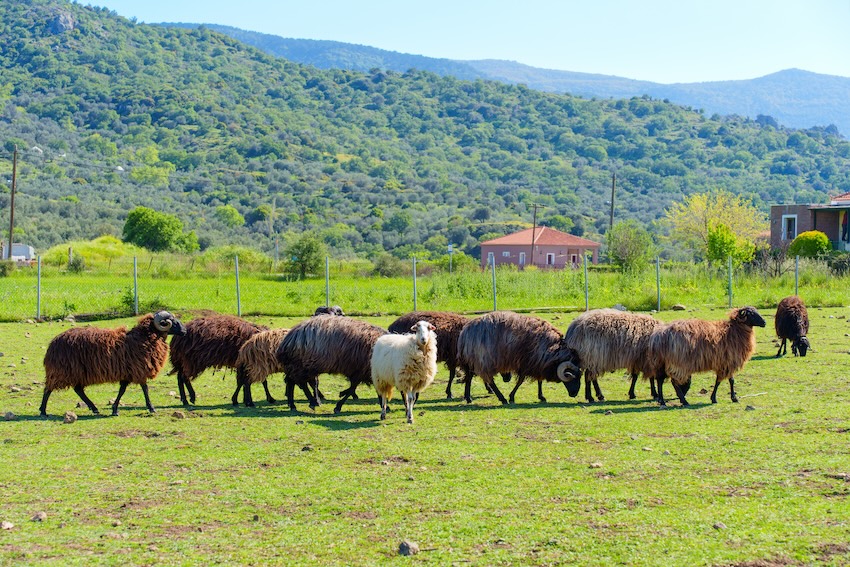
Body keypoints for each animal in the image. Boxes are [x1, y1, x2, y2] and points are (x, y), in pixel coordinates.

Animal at [39, 311, 186, 417]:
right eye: (172, 321)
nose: (184, 331)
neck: (145, 338)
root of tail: (53, 344)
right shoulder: (138, 370)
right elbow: (145, 389)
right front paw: (151, 408)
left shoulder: (127, 372)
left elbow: (122, 390)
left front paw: (115, 409)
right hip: (61, 370)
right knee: (48, 389)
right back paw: (43, 411)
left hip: (77, 372)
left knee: (78, 390)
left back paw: (94, 408)